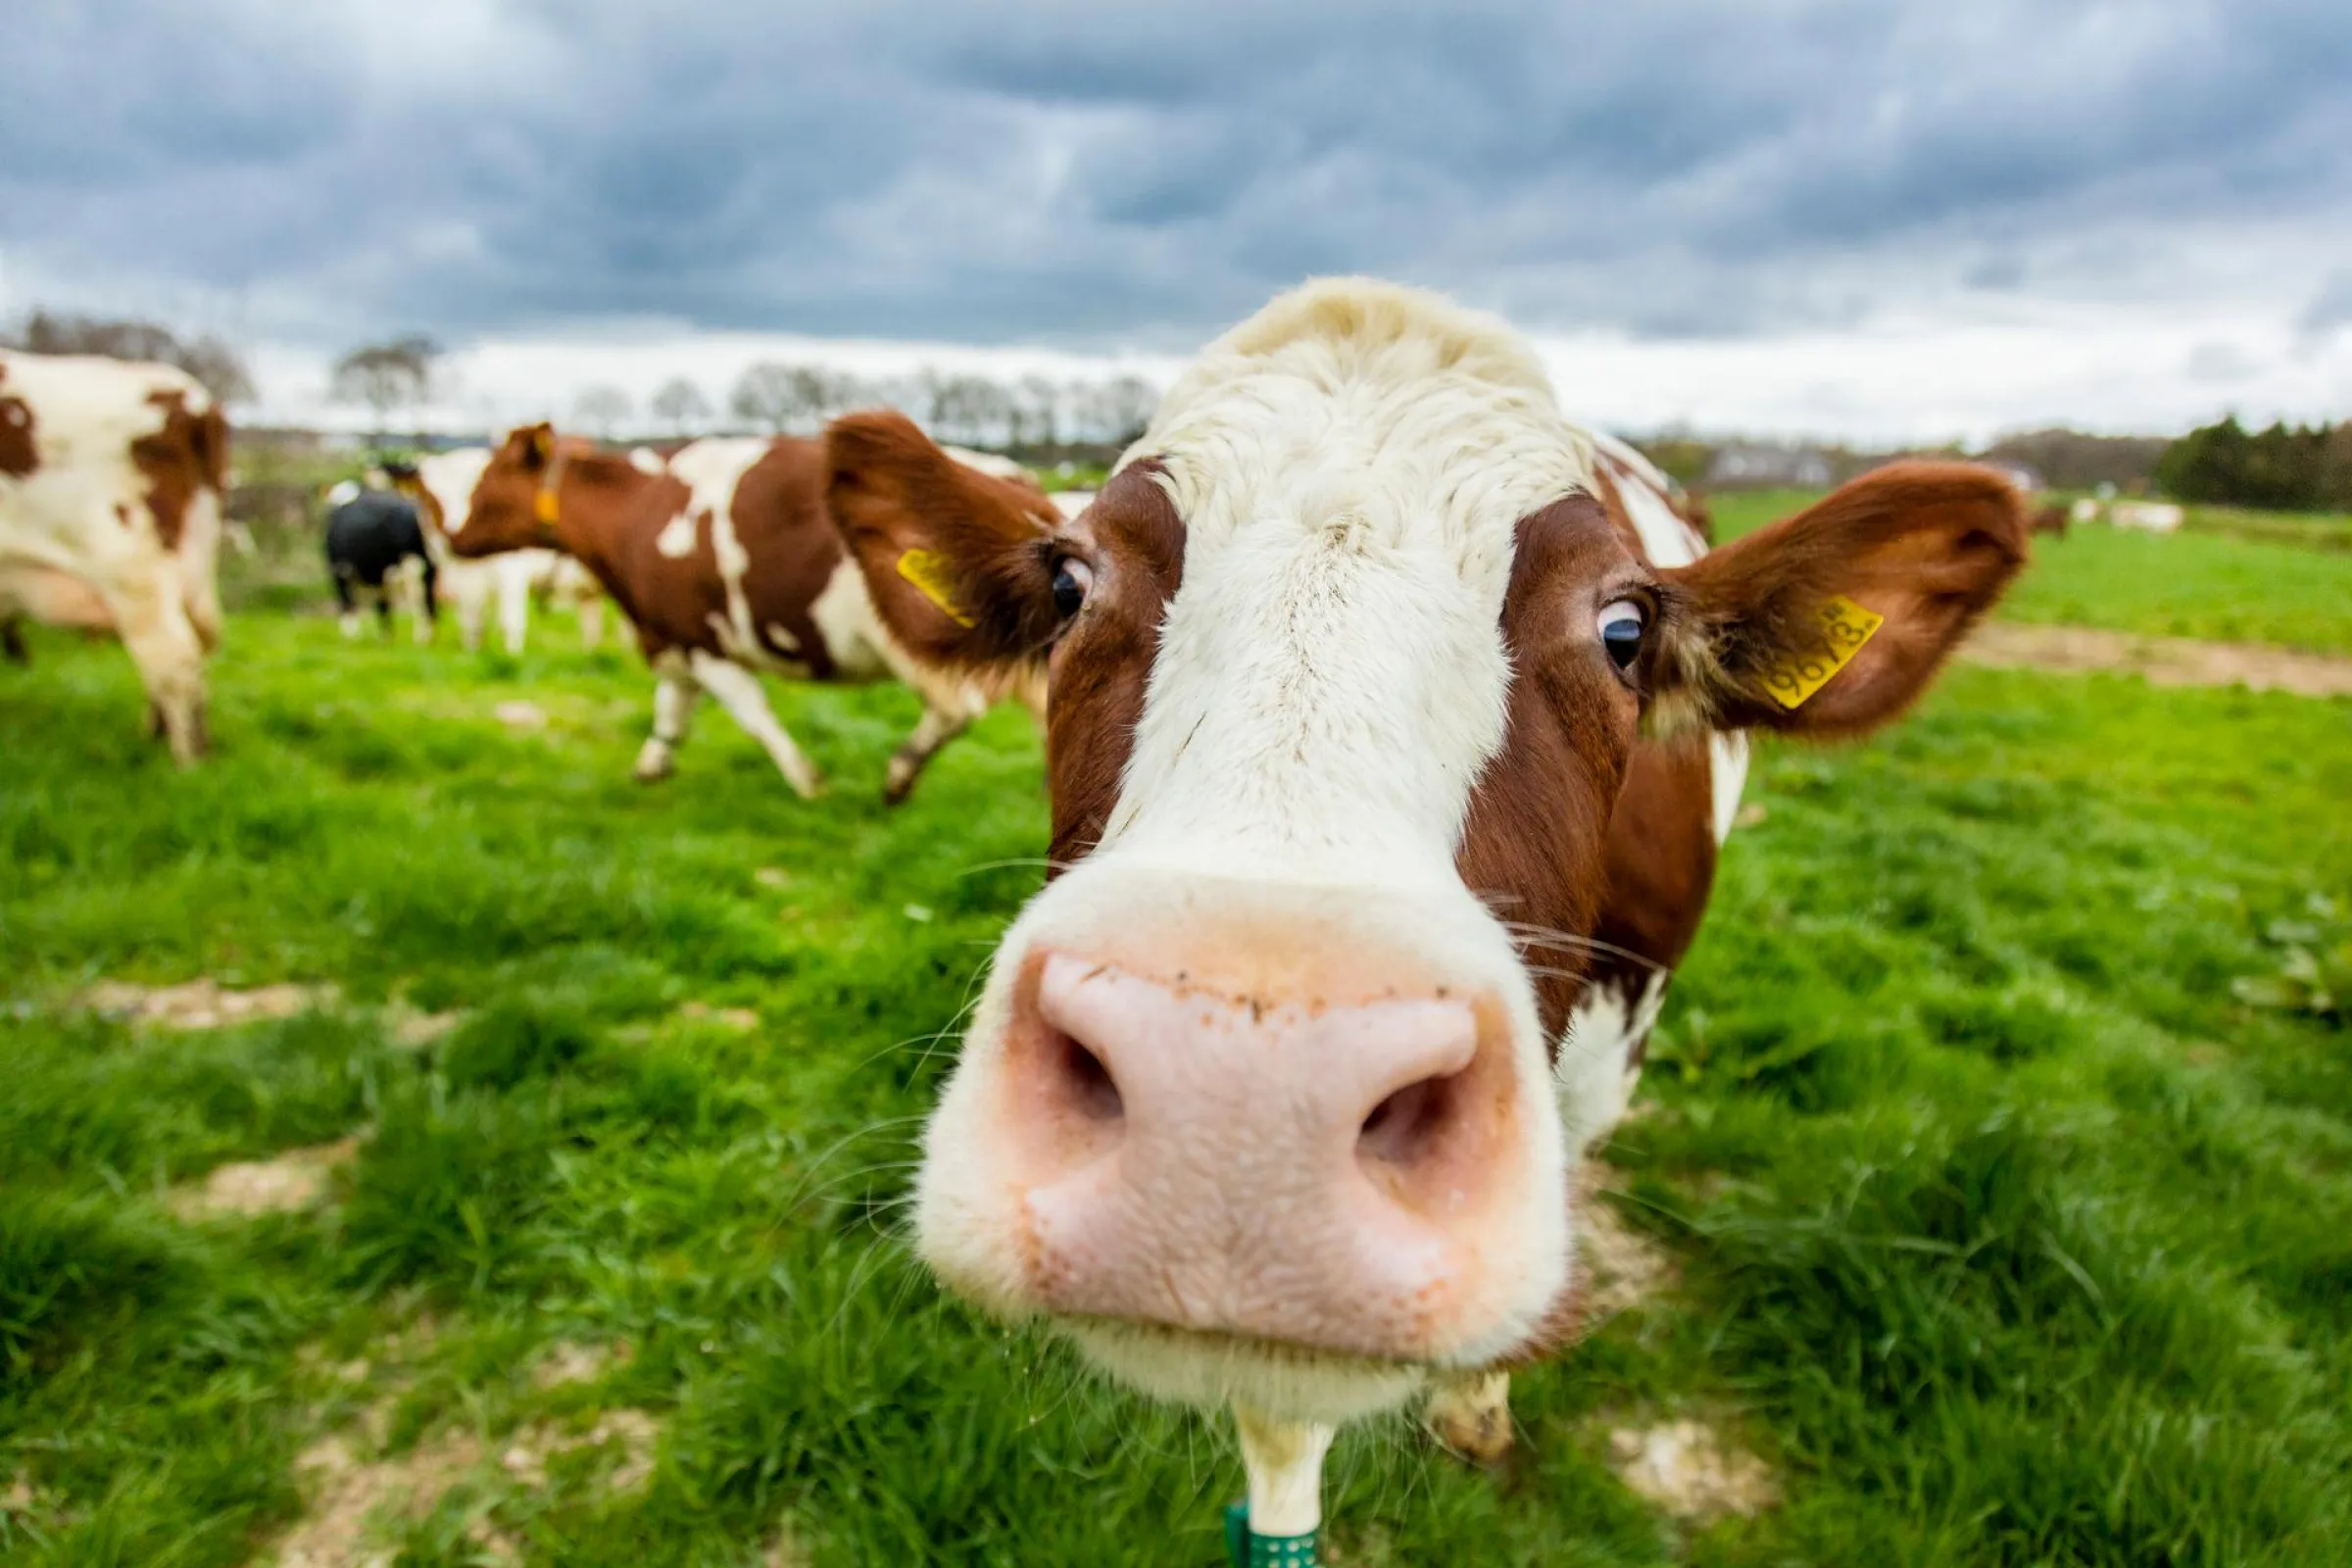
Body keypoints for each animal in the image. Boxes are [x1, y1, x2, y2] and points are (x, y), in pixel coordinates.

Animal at [0, 350, 229, 764]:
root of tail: (193, 405)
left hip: (131, 570)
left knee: (174, 656)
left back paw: (187, 763)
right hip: (188, 571)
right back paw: (158, 737)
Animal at [433, 422, 1057, 801]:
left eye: (488, 482)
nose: (454, 537)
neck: (637, 509)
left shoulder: (702, 641)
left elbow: (752, 713)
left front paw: (808, 782)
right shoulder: (673, 639)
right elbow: (671, 711)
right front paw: (651, 766)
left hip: (911, 650)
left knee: (956, 709)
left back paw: (899, 777)